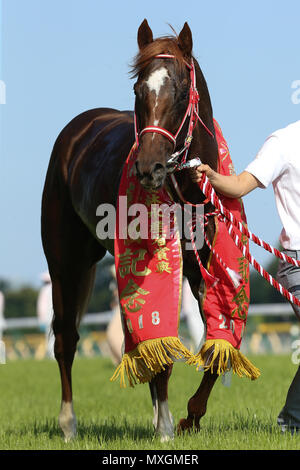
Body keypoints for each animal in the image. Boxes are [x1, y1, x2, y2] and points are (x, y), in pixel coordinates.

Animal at [41, 20, 220, 442]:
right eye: (138, 90)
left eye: (182, 91)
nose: (149, 167)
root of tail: (78, 130)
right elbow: (160, 344)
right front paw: (168, 426)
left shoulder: (199, 264)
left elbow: (212, 341)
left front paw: (190, 415)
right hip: (65, 262)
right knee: (65, 339)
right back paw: (69, 424)